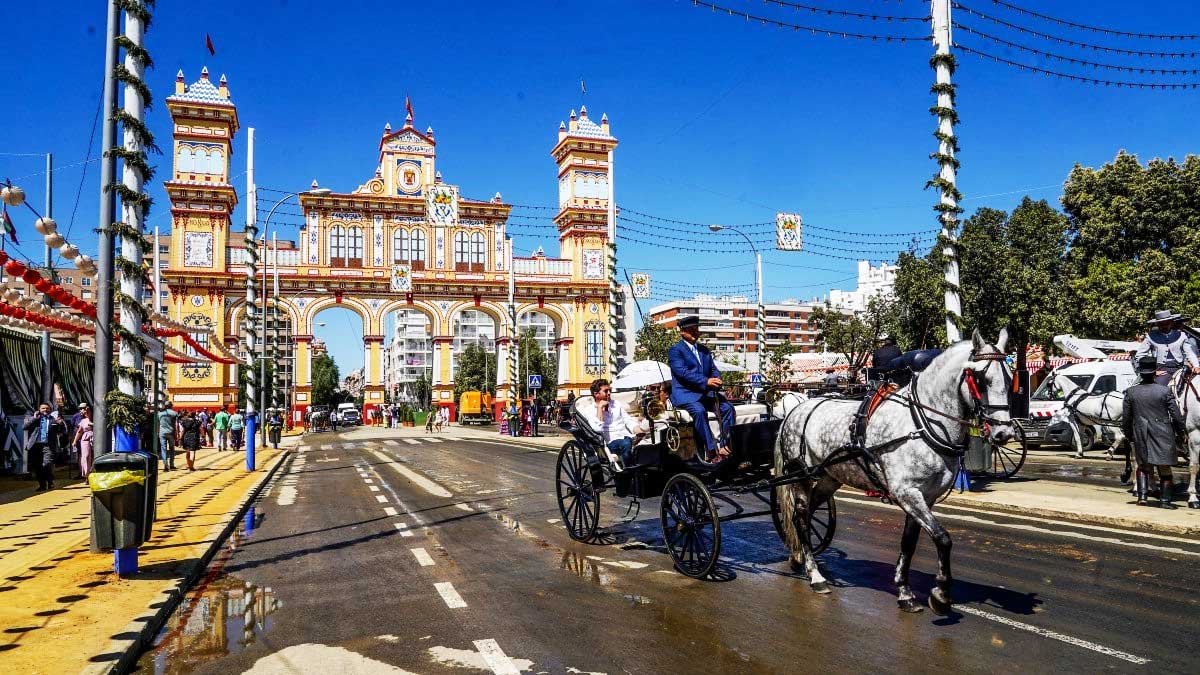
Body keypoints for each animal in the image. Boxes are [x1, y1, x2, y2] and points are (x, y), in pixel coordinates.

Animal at [772, 329, 1017, 612]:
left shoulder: (925, 496)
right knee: (801, 517)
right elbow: (942, 538)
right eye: (981, 378)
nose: (1004, 432)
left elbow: (909, 542)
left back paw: (798, 557)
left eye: (1010, 378)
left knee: (805, 515)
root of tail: (794, 410)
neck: (922, 424)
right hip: (800, 477)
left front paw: (905, 591)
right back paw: (815, 575)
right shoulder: (907, 492)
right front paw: (941, 594)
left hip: (828, 478)